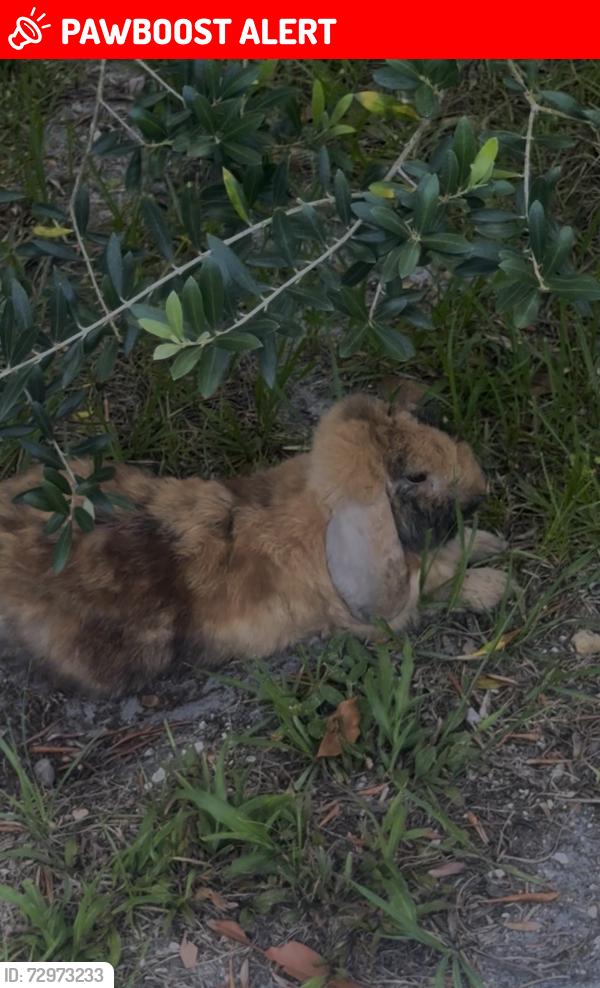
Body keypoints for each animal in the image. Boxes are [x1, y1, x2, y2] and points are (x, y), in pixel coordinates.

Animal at [0, 392, 508, 695]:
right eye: (417, 476)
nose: (481, 489)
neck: (322, 510)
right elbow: (439, 590)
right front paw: (495, 584)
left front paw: (488, 543)